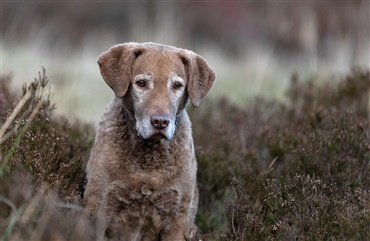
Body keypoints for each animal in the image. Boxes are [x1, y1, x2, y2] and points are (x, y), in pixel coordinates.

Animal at [84, 42, 215, 240]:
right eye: (141, 83)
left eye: (177, 85)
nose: (160, 122)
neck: (148, 160)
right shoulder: (98, 207)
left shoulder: (177, 218)